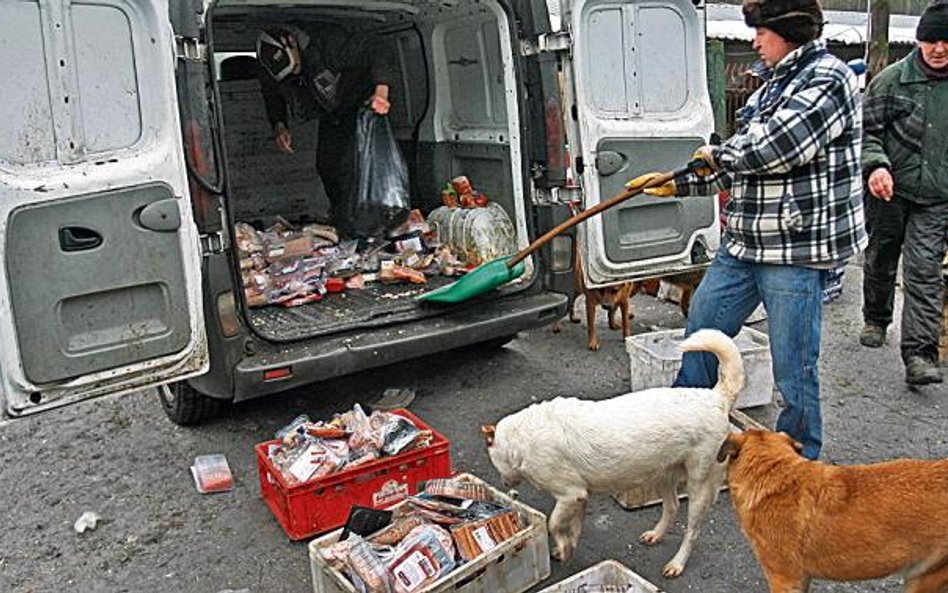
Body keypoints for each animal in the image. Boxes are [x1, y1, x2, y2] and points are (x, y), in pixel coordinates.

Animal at [486, 326, 744, 576]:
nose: (505, 484)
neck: (522, 437)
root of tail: (715, 397)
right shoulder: (580, 497)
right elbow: (574, 526)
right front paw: (568, 546)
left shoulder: (570, 494)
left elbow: (554, 523)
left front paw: (563, 546)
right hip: (662, 473)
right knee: (672, 507)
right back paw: (656, 534)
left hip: (699, 484)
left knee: (692, 530)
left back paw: (677, 563)